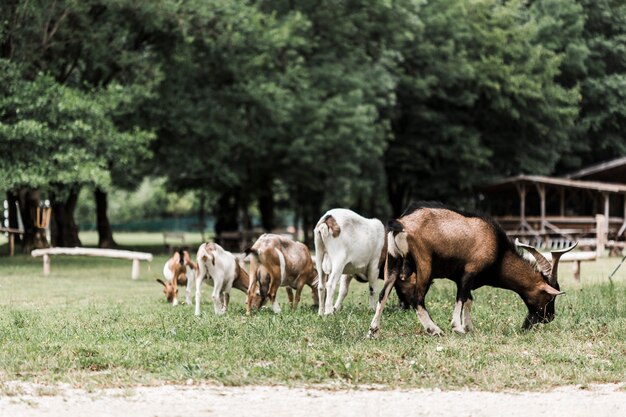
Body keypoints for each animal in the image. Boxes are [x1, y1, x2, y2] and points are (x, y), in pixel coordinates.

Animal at [366, 202, 576, 338]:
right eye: (550, 297)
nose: (549, 318)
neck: (498, 252)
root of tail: (401, 224)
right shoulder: (469, 272)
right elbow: (461, 297)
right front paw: (458, 327)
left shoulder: (463, 277)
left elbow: (468, 299)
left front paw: (469, 327)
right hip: (424, 263)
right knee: (417, 299)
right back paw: (435, 329)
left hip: (393, 261)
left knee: (383, 293)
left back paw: (373, 331)